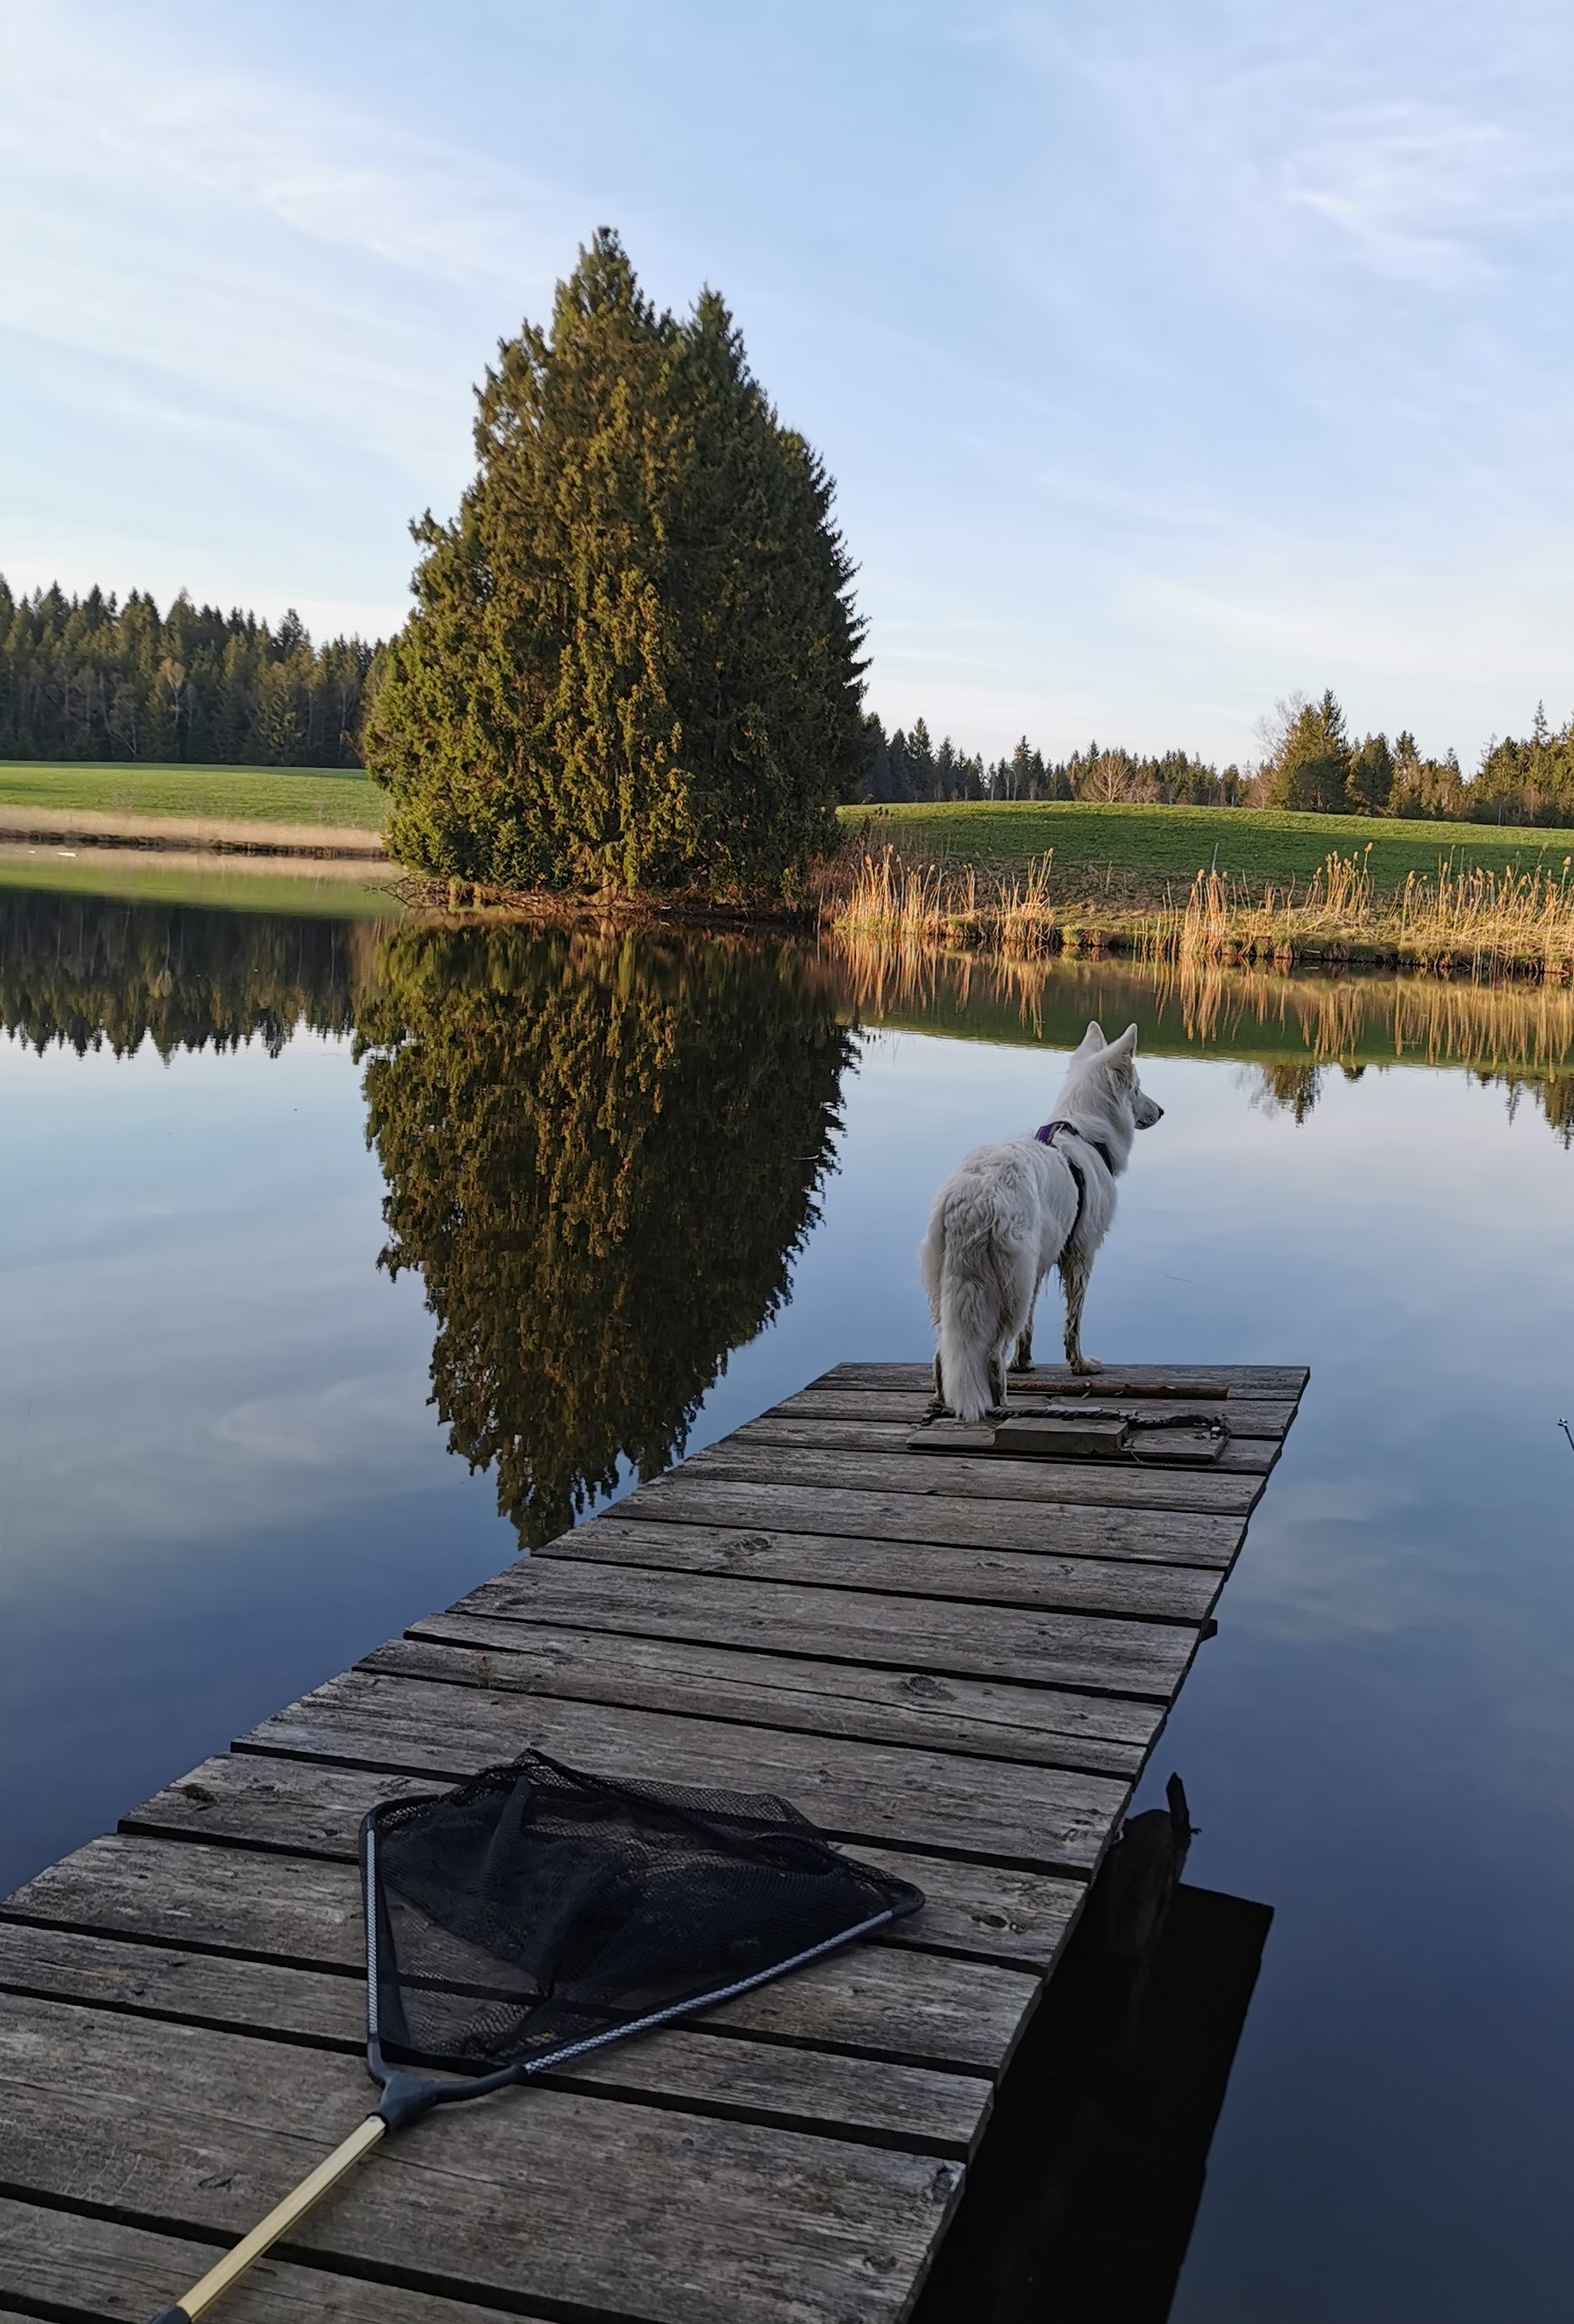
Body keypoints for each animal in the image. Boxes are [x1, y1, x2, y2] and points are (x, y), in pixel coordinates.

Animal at [916, 1022, 1162, 1413]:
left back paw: (943, 1401)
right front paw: (1080, 1365)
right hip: (1008, 1284)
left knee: (943, 1354)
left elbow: (1029, 1328)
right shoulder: (1081, 1253)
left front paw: (1024, 1363)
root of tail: (972, 1196)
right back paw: (1002, 1404)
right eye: (1137, 1088)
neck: (1084, 1134)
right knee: (990, 1355)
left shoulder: (1041, 1263)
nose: (1162, 1111)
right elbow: (1073, 1321)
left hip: (952, 1288)